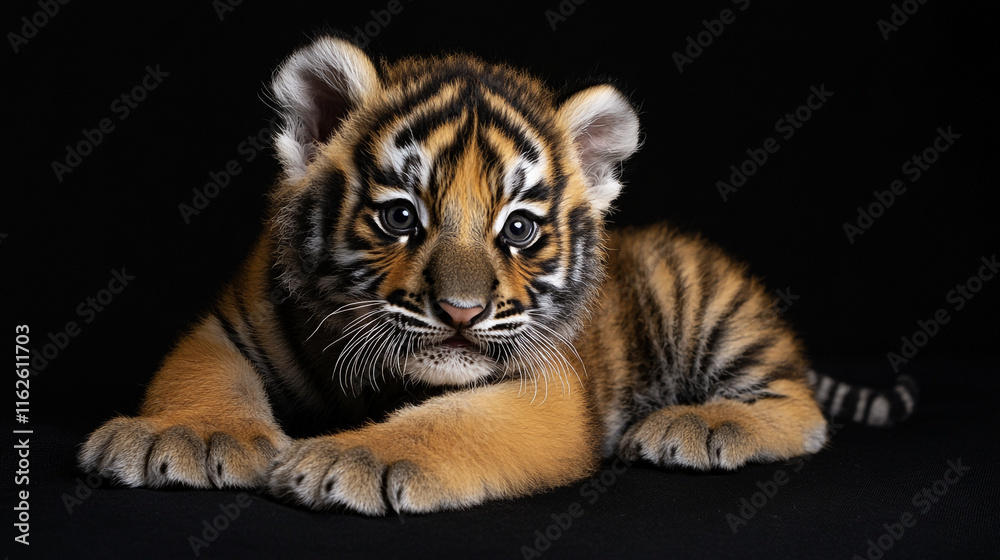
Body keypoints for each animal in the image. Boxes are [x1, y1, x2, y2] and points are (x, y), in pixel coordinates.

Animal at [79, 35, 917, 515]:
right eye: (400, 217)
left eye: (518, 229)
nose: (459, 311)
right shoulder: (227, 327)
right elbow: (203, 379)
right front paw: (182, 438)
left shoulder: (544, 388)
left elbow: (455, 423)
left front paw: (353, 457)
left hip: (709, 309)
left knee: (799, 407)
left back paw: (695, 426)